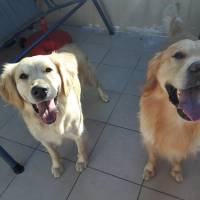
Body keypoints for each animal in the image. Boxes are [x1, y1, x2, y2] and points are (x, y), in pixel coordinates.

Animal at [0, 44, 109, 178]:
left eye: (48, 70)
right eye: (23, 76)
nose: (40, 90)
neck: (55, 120)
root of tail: (70, 45)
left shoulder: (78, 132)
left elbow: (81, 149)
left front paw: (81, 161)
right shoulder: (44, 140)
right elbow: (53, 154)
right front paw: (57, 166)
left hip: (89, 76)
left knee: (98, 84)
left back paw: (104, 96)